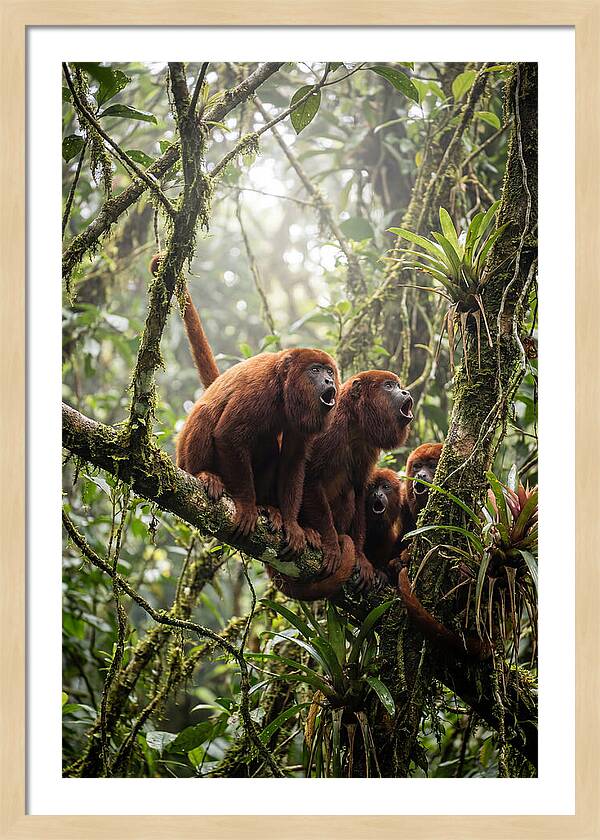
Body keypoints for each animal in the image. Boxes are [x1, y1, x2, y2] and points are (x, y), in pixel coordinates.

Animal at [299, 370, 414, 589]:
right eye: (389, 386)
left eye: (398, 385)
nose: (405, 392)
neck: (353, 422)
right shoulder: (331, 427)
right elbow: (310, 477)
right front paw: (331, 544)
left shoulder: (367, 446)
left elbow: (359, 490)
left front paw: (360, 557)